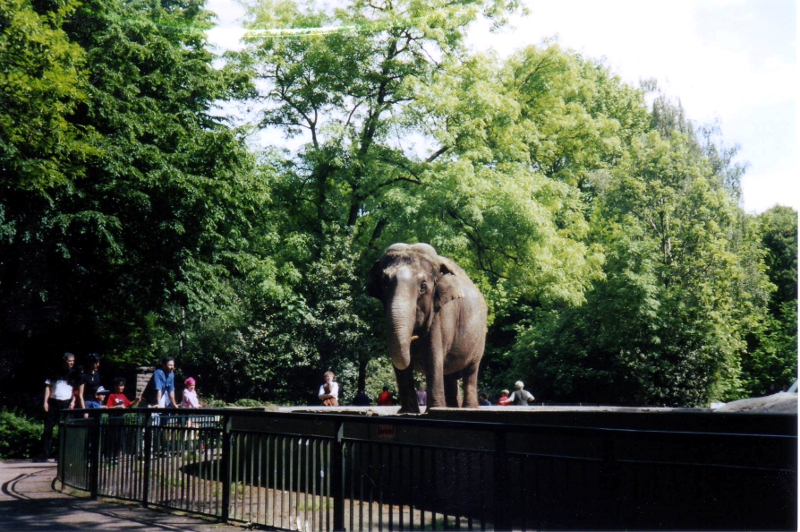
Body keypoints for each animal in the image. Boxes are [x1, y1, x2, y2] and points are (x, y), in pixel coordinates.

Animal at [367, 243, 488, 413]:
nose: (414, 336)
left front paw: (434, 409)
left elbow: (433, 356)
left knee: (471, 370)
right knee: (449, 375)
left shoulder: (443, 313)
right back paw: (452, 407)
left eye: (423, 286)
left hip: (479, 337)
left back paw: (467, 408)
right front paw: (408, 412)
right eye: (384, 285)